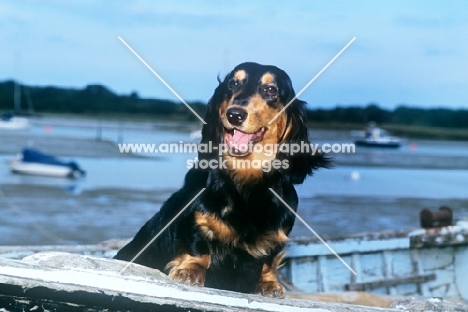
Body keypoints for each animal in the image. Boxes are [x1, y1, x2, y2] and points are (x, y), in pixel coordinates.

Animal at [115, 61, 330, 298]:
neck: (246, 180)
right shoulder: (197, 220)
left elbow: (270, 260)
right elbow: (198, 247)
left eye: (270, 89)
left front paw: (269, 283)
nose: (234, 114)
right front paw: (190, 270)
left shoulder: (277, 236)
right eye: (233, 84)